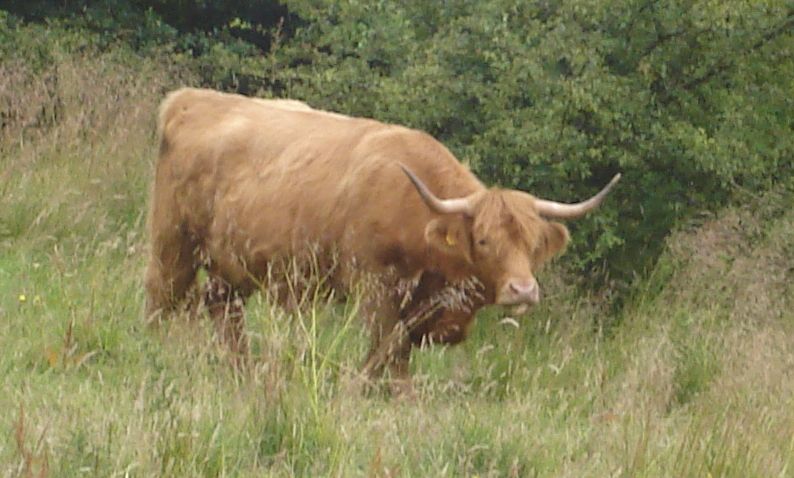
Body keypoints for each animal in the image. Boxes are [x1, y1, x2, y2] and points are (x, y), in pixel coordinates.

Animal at [147, 88, 620, 394]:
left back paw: (243, 372)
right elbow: (387, 346)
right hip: (173, 242)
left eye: (533, 243)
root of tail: (189, 99)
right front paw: (377, 391)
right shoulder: (375, 285)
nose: (522, 290)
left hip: (233, 263)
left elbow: (398, 348)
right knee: (162, 296)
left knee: (222, 309)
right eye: (484, 240)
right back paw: (156, 355)